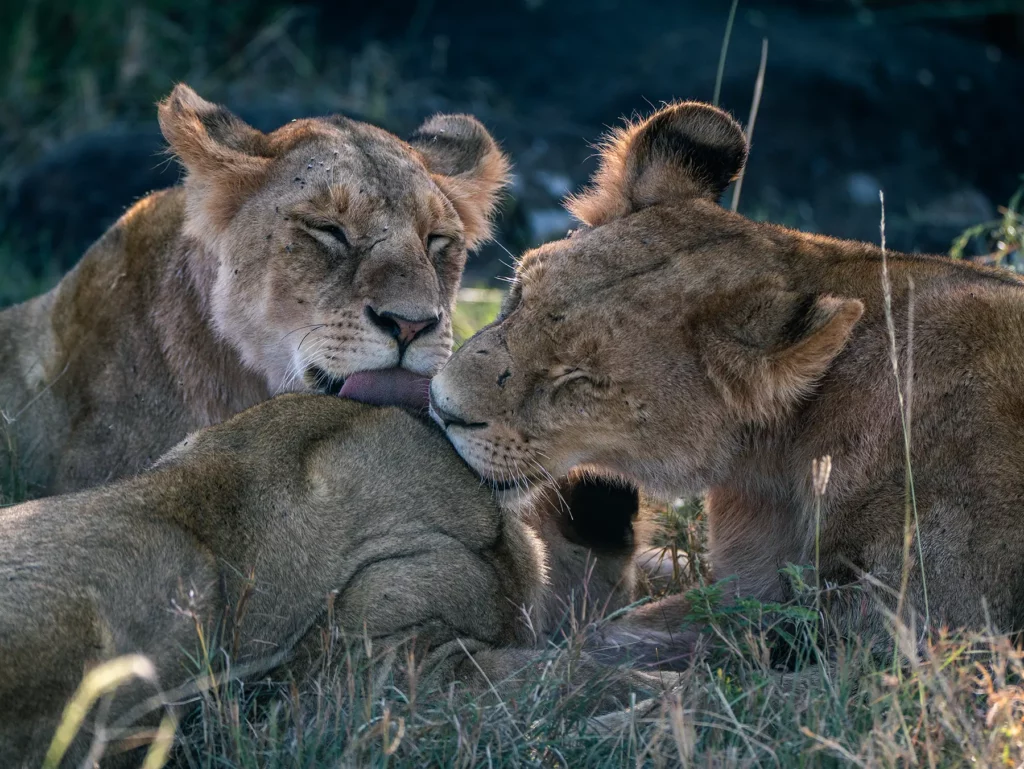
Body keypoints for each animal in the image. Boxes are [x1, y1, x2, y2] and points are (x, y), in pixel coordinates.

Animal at [429, 100, 1024, 661]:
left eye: (581, 379)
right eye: (516, 297)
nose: (440, 404)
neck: (774, 458)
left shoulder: (915, 626)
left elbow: (625, 648)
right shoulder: (750, 584)